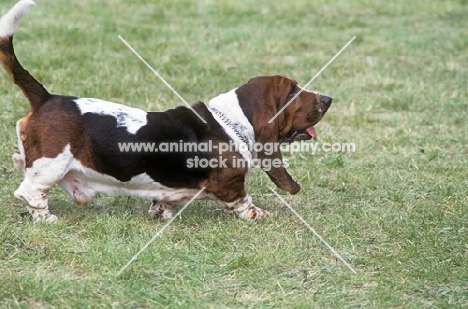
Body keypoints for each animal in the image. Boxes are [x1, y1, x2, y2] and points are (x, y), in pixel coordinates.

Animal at [0, 0, 330, 221]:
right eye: (293, 92)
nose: (327, 99)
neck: (233, 123)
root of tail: (47, 98)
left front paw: (162, 211)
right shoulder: (231, 184)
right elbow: (242, 201)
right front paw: (258, 214)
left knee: (22, 163)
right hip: (53, 164)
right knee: (29, 192)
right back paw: (47, 218)